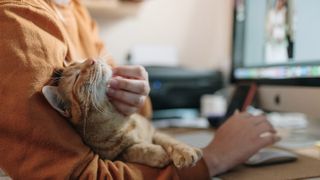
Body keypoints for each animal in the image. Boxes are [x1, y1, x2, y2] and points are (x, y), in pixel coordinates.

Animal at [42, 58, 202, 168]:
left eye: (81, 60)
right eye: (76, 76)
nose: (92, 59)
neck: (117, 121)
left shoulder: (154, 131)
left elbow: (170, 140)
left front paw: (187, 151)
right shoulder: (113, 157)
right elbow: (133, 149)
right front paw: (158, 154)